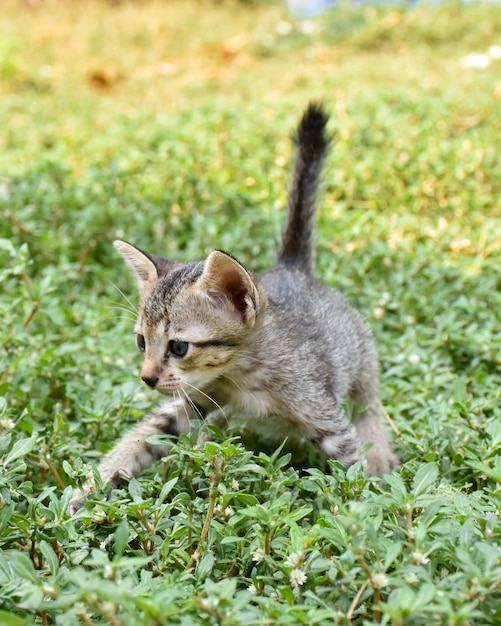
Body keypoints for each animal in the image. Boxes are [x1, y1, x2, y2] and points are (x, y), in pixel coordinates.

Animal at [69, 102, 398, 512]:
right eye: (141, 342)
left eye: (179, 347)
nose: (146, 378)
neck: (242, 377)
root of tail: (292, 267)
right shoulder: (191, 400)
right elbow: (142, 436)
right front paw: (88, 490)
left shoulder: (326, 416)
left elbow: (351, 470)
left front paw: (365, 515)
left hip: (361, 362)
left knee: (368, 405)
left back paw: (381, 454)